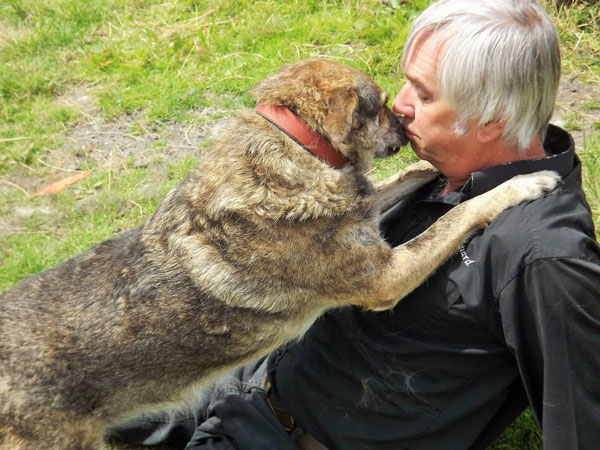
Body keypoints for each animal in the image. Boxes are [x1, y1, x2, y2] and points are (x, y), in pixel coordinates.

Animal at [1, 59, 564, 450]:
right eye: (383, 103)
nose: (407, 127)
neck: (297, 146)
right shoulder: (385, 276)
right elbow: (459, 214)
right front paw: (524, 182)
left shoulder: (366, 219)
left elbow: (404, 178)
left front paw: (444, 171)